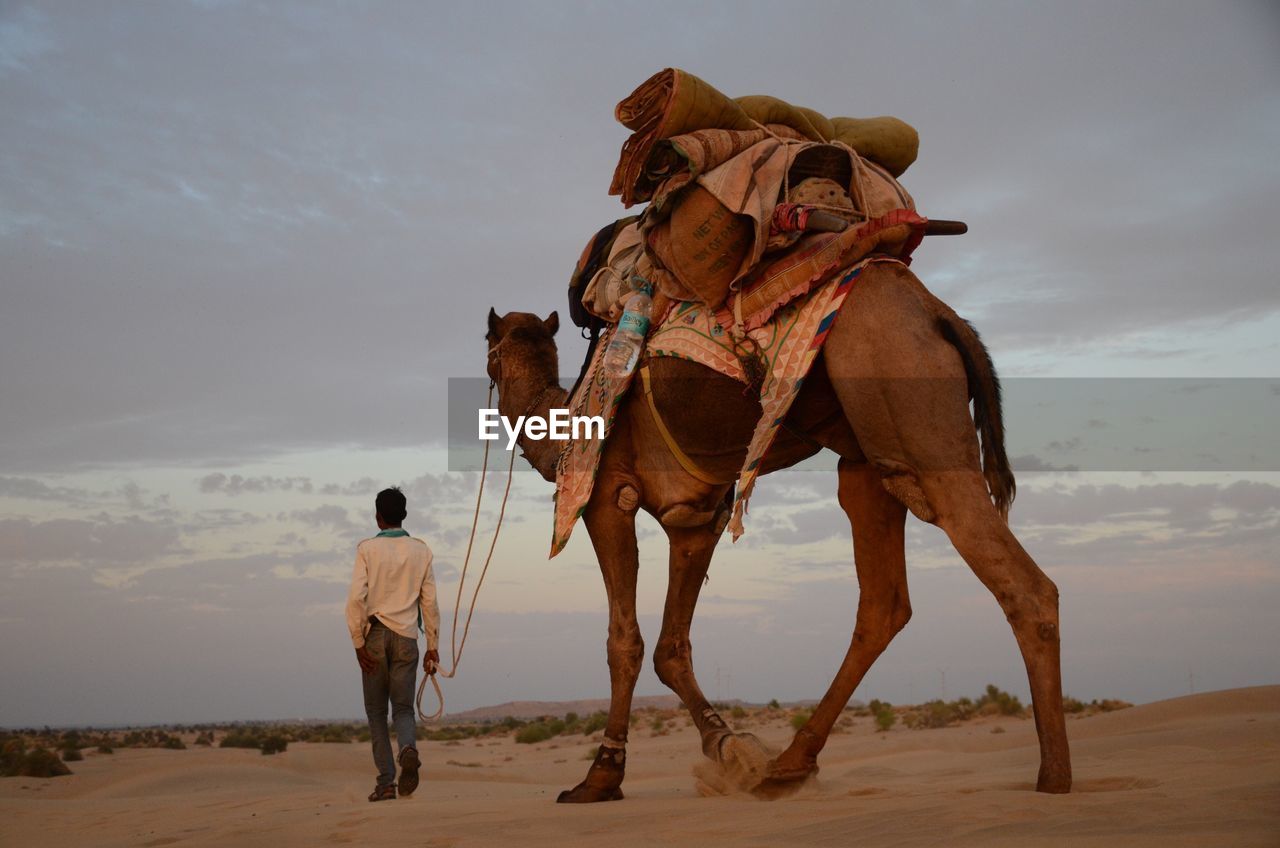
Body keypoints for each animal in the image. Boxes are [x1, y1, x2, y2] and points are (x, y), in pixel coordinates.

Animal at [481, 258, 1070, 804]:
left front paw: (601, 777)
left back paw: (1054, 774)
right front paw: (728, 748)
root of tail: (939, 314)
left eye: (488, 348)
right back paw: (788, 765)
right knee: (884, 604)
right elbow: (672, 647)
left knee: (1025, 586)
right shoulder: (698, 519)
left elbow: (624, 642)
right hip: (870, 462)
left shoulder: (605, 495)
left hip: (915, 421)